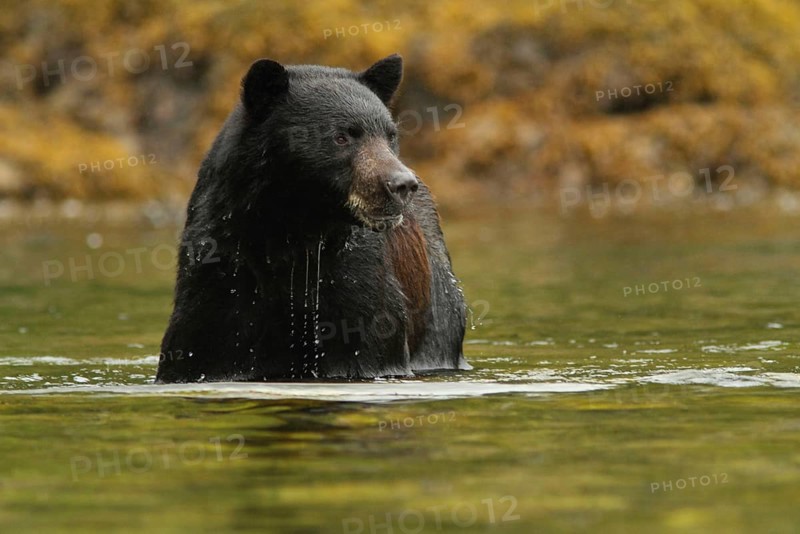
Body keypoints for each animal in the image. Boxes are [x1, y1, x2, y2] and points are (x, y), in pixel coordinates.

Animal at [156, 54, 469, 382]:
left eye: (390, 135)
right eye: (342, 136)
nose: (402, 184)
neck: (291, 229)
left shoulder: (356, 281)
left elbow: (370, 338)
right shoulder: (216, 272)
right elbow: (198, 346)